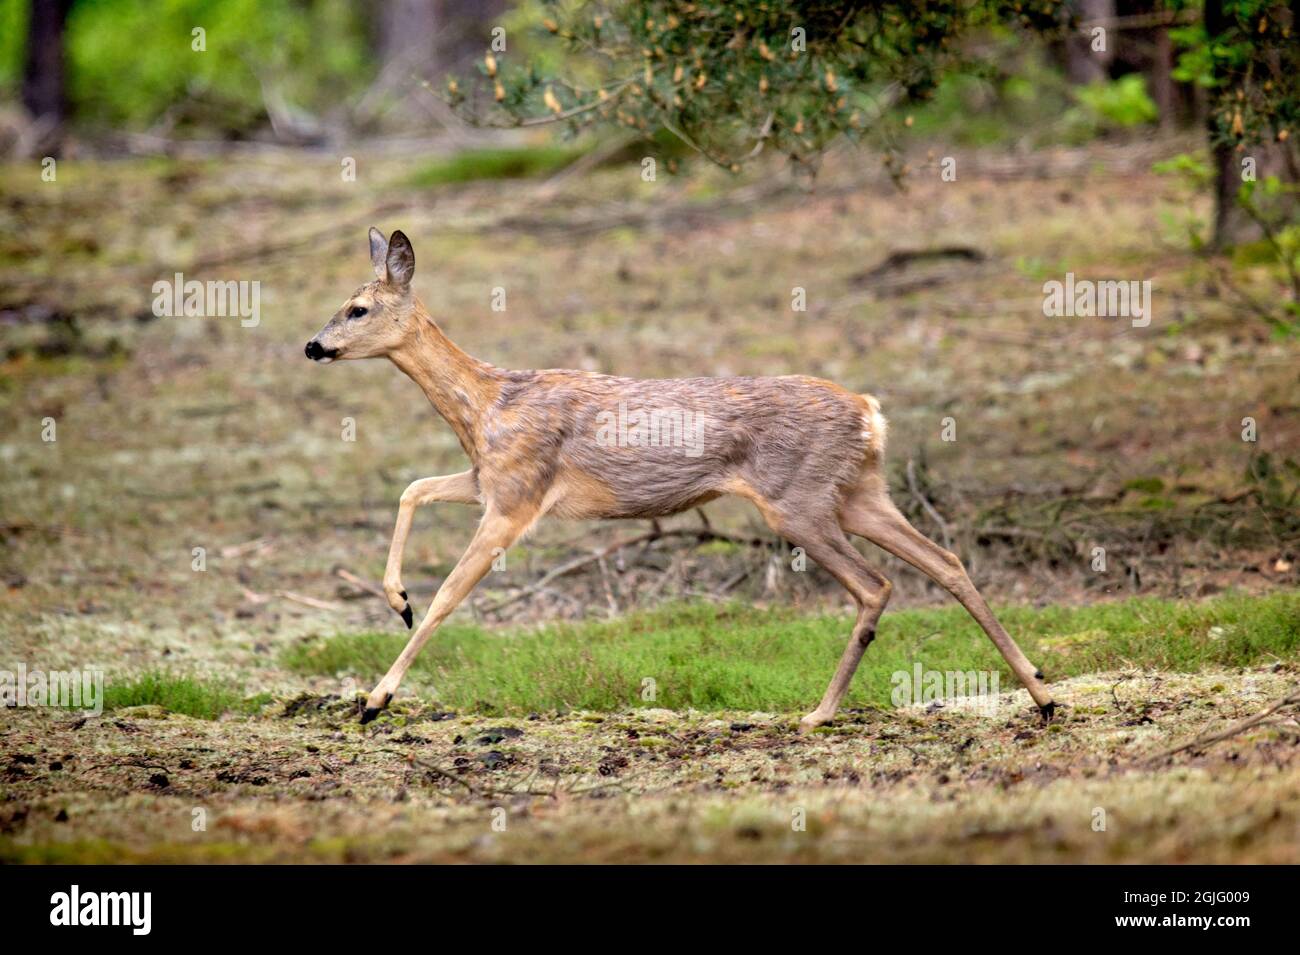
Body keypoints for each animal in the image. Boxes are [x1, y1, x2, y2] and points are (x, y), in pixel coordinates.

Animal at [305, 228, 1056, 729]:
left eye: (358, 308)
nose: (313, 345)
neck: (488, 403)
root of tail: (871, 412)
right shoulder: (492, 478)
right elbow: (412, 490)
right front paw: (395, 598)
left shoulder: (516, 498)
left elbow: (448, 596)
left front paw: (376, 697)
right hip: (858, 491)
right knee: (946, 560)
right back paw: (1043, 695)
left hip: (799, 501)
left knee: (876, 584)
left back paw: (818, 712)